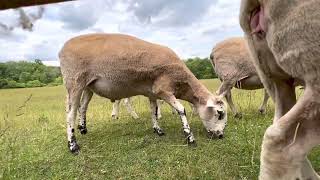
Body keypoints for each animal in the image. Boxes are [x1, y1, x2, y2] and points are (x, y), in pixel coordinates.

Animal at [58, 33, 228, 153]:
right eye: (220, 114)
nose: (220, 136)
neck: (183, 83)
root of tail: (62, 48)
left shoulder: (152, 93)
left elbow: (153, 111)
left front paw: (158, 130)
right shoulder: (163, 89)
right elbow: (181, 109)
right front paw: (190, 137)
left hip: (88, 86)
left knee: (83, 107)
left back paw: (83, 128)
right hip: (74, 81)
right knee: (70, 113)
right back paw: (73, 145)